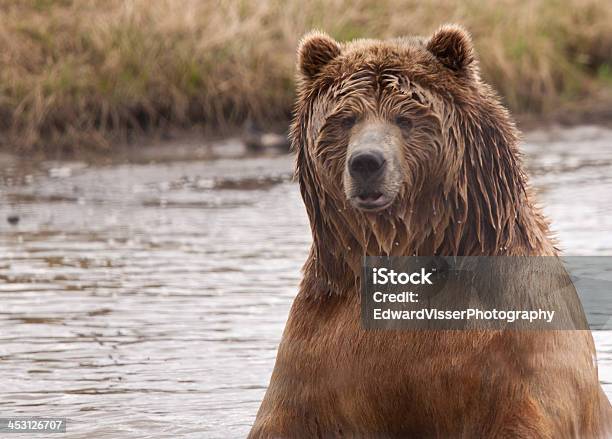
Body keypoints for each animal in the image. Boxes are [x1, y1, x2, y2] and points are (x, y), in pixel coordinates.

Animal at [249, 24, 612, 439]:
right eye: (347, 118)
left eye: (404, 117)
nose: (366, 162)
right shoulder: (319, 351)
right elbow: (286, 416)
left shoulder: (514, 351)